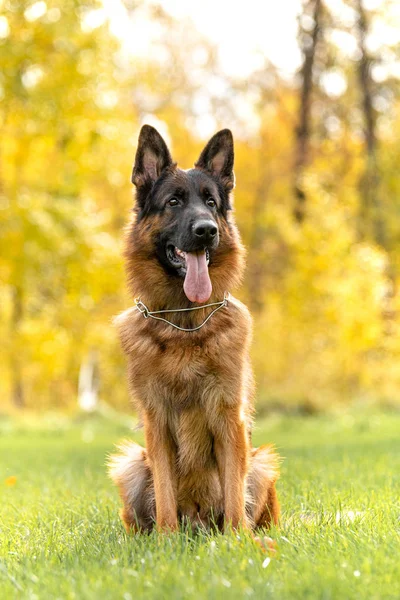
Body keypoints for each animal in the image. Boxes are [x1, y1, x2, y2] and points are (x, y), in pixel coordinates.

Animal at [108, 124, 280, 532]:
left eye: (211, 203)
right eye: (173, 202)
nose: (206, 230)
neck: (184, 325)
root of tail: (199, 523)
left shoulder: (228, 420)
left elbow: (234, 493)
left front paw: (236, 539)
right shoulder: (157, 425)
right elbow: (166, 494)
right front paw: (166, 539)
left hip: (262, 463)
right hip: (130, 464)